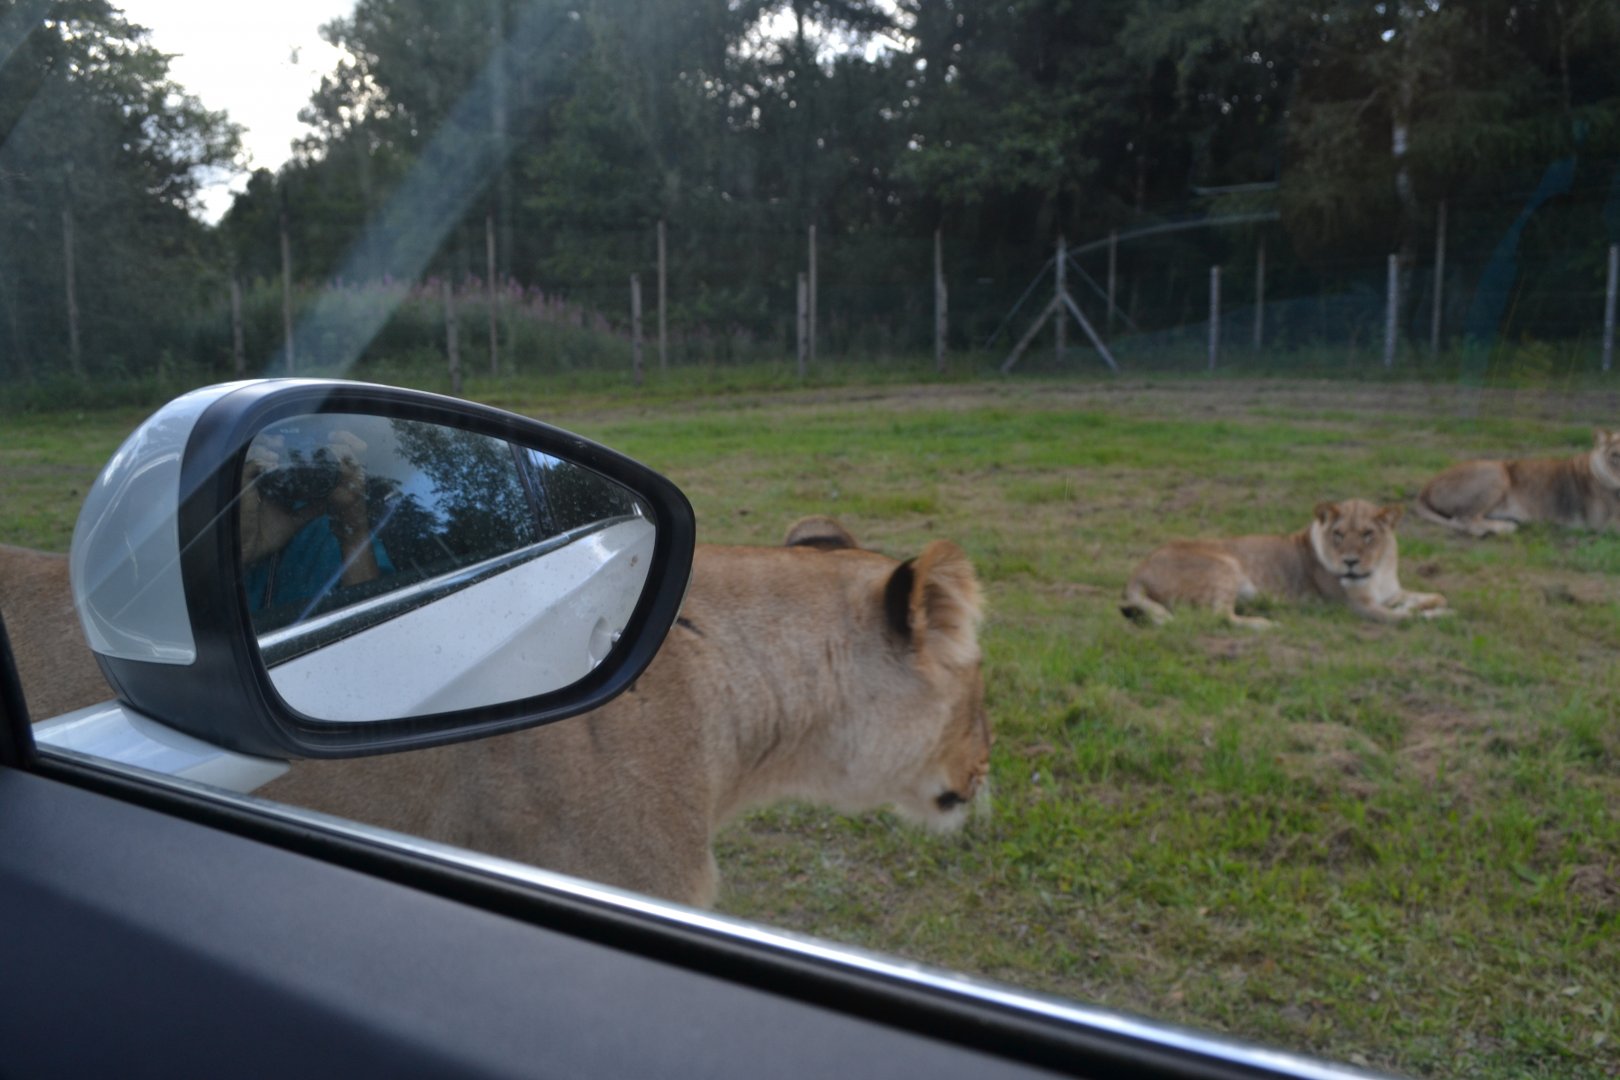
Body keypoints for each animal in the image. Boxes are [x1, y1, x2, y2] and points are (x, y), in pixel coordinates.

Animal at [1119, 499, 1450, 630]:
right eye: (1339, 534)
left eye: (1369, 534)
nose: (1350, 562)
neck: (1377, 570)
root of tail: (1137, 571)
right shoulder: (1358, 607)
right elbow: (1405, 618)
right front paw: (1435, 615)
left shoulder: (1391, 591)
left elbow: (1429, 595)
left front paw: (1427, 603)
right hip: (1226, 566)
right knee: (1220, 617)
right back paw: (1267, 624)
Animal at [1414, 430, 1620, 537]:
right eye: (1616, 455)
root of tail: (1426, 487)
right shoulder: (1603, 524)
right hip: (1497, 473)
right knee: (1464, 520)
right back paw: (1504, 527)